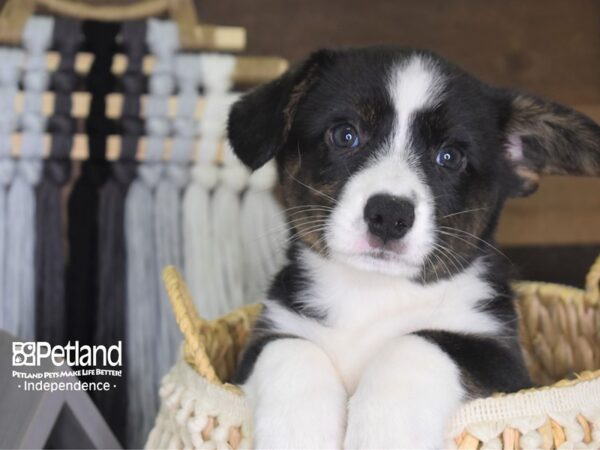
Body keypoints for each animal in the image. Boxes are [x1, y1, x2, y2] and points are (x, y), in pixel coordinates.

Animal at [226, 47, 600, 448]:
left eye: (450, 157)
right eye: (345, 135)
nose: (389, 215)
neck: (370, 292)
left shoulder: (500, 358)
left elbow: (417, 342)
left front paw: (383, 432)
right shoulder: (267, 335)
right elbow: (291, 349)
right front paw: (298, 432)